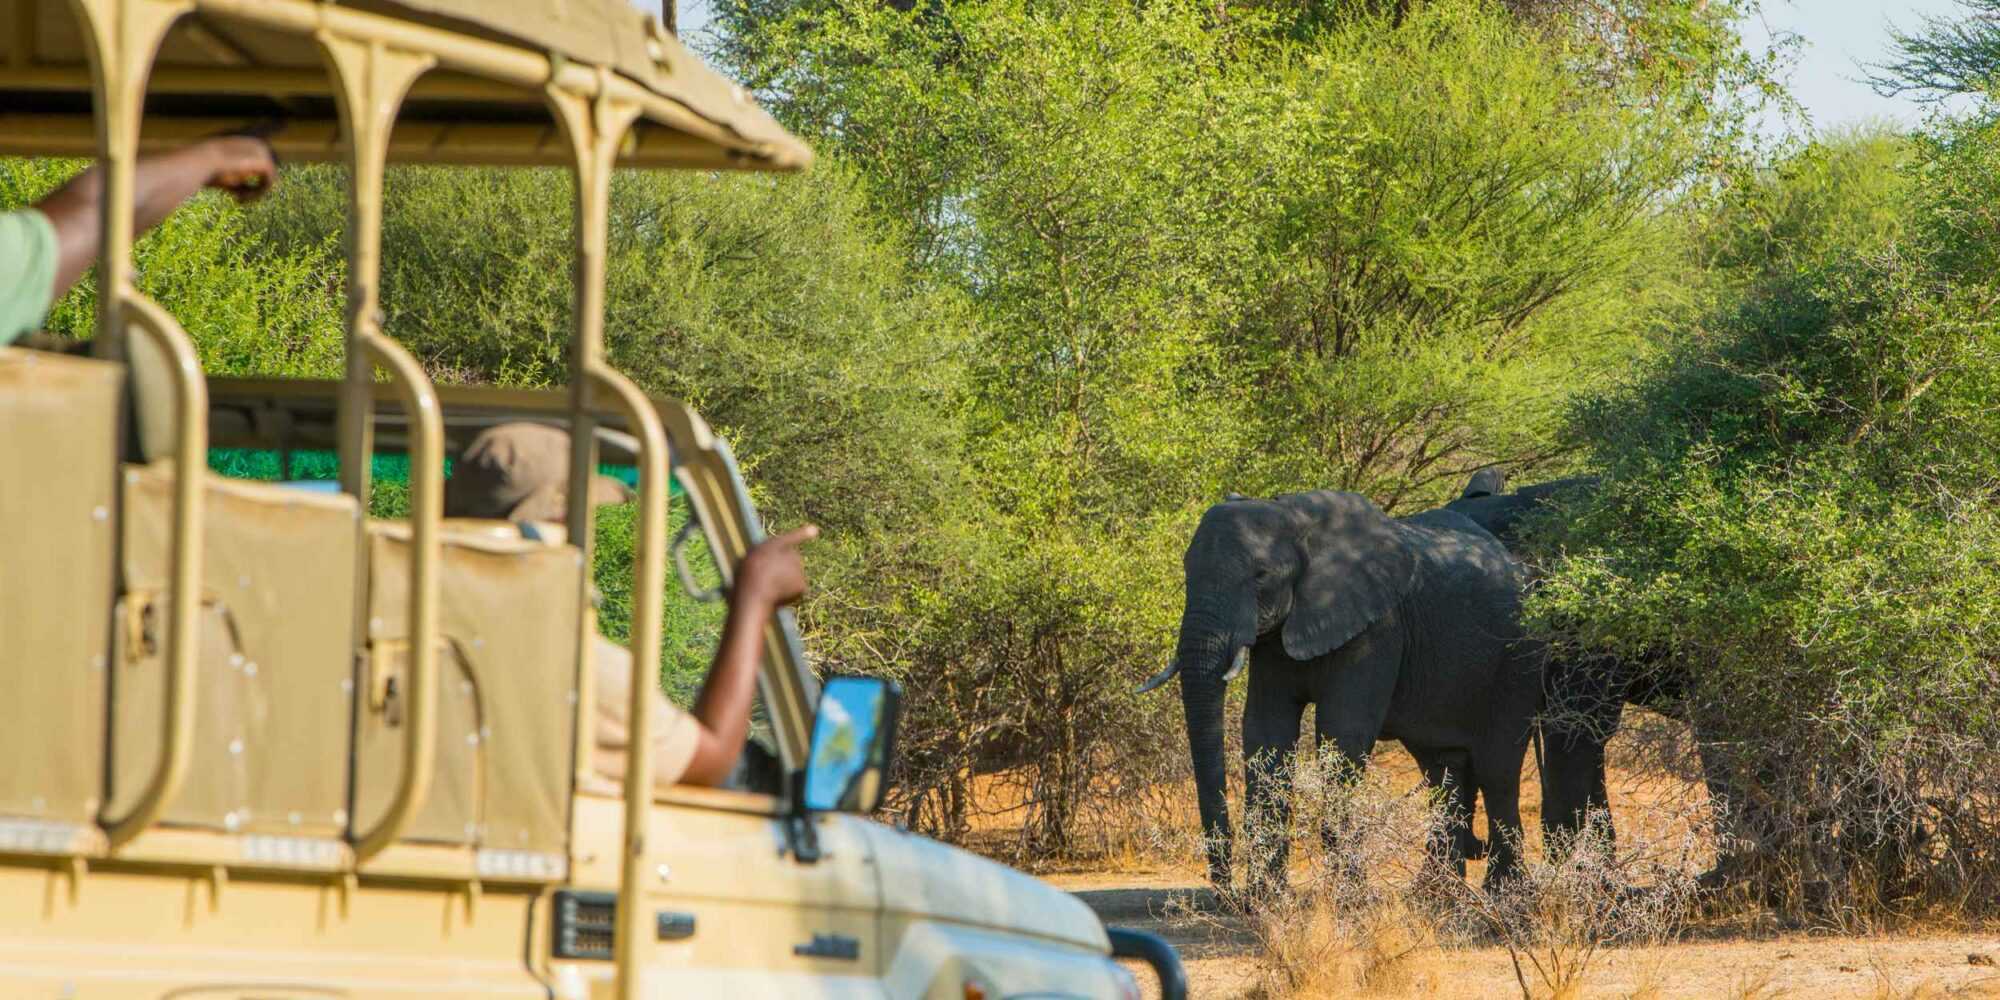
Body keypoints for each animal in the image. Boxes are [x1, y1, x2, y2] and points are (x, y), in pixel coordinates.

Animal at [1144, 492, 1544, 892]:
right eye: (1187, 573)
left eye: (1261, 576)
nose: (1226, 889)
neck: (1295, 517)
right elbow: (1266, 729)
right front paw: (1266, 897)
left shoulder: (1377, 628)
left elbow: (1342, 731)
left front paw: (1349, 897)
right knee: (1441, 769)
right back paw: (1435, 895)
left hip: (1518, 660)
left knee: (1497, 769)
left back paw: (1505, 893)